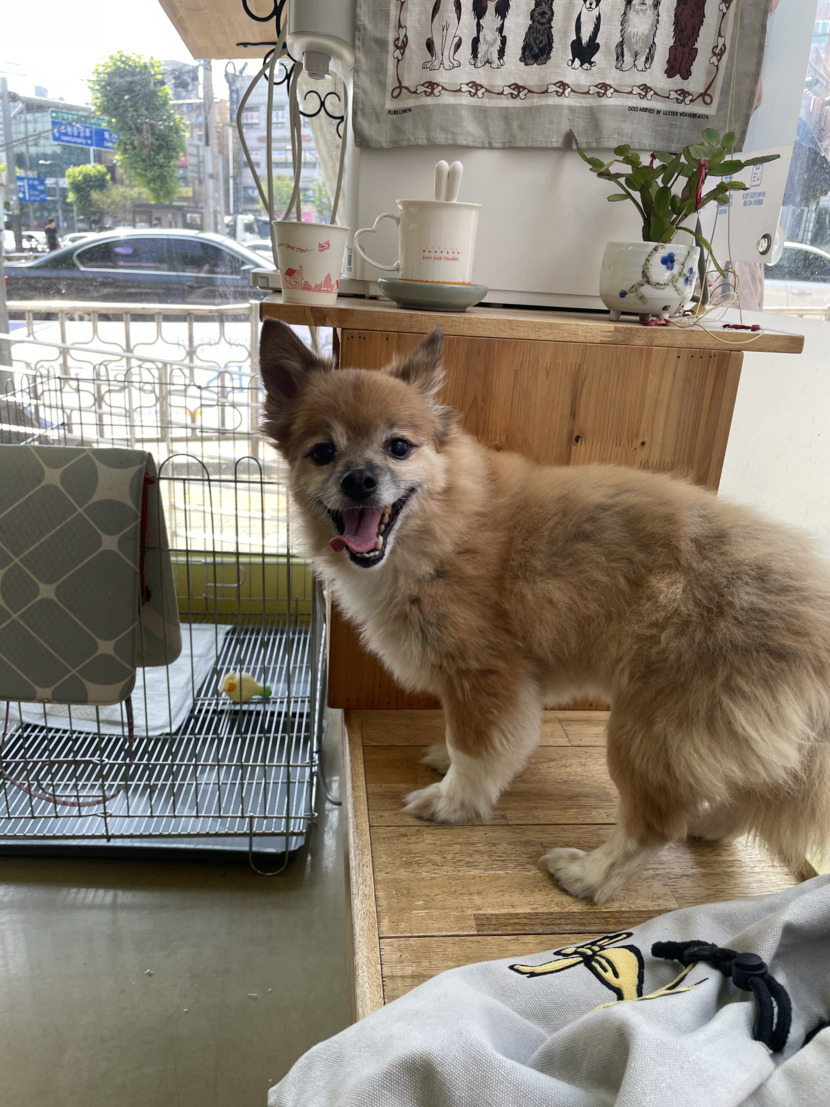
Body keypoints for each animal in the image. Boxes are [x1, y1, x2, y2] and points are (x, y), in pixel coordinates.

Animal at [259, 321, 830, 904]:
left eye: (398, 448)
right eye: (323, 452)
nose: (359, 480)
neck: (446, 528)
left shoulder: (487, 678)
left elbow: (476, 751)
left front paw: (452, 801)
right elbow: (464, 742)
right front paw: (447, 763)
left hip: (649, 732)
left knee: (654, 826)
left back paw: (590, 876)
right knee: (754, 792)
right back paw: (710, 824)